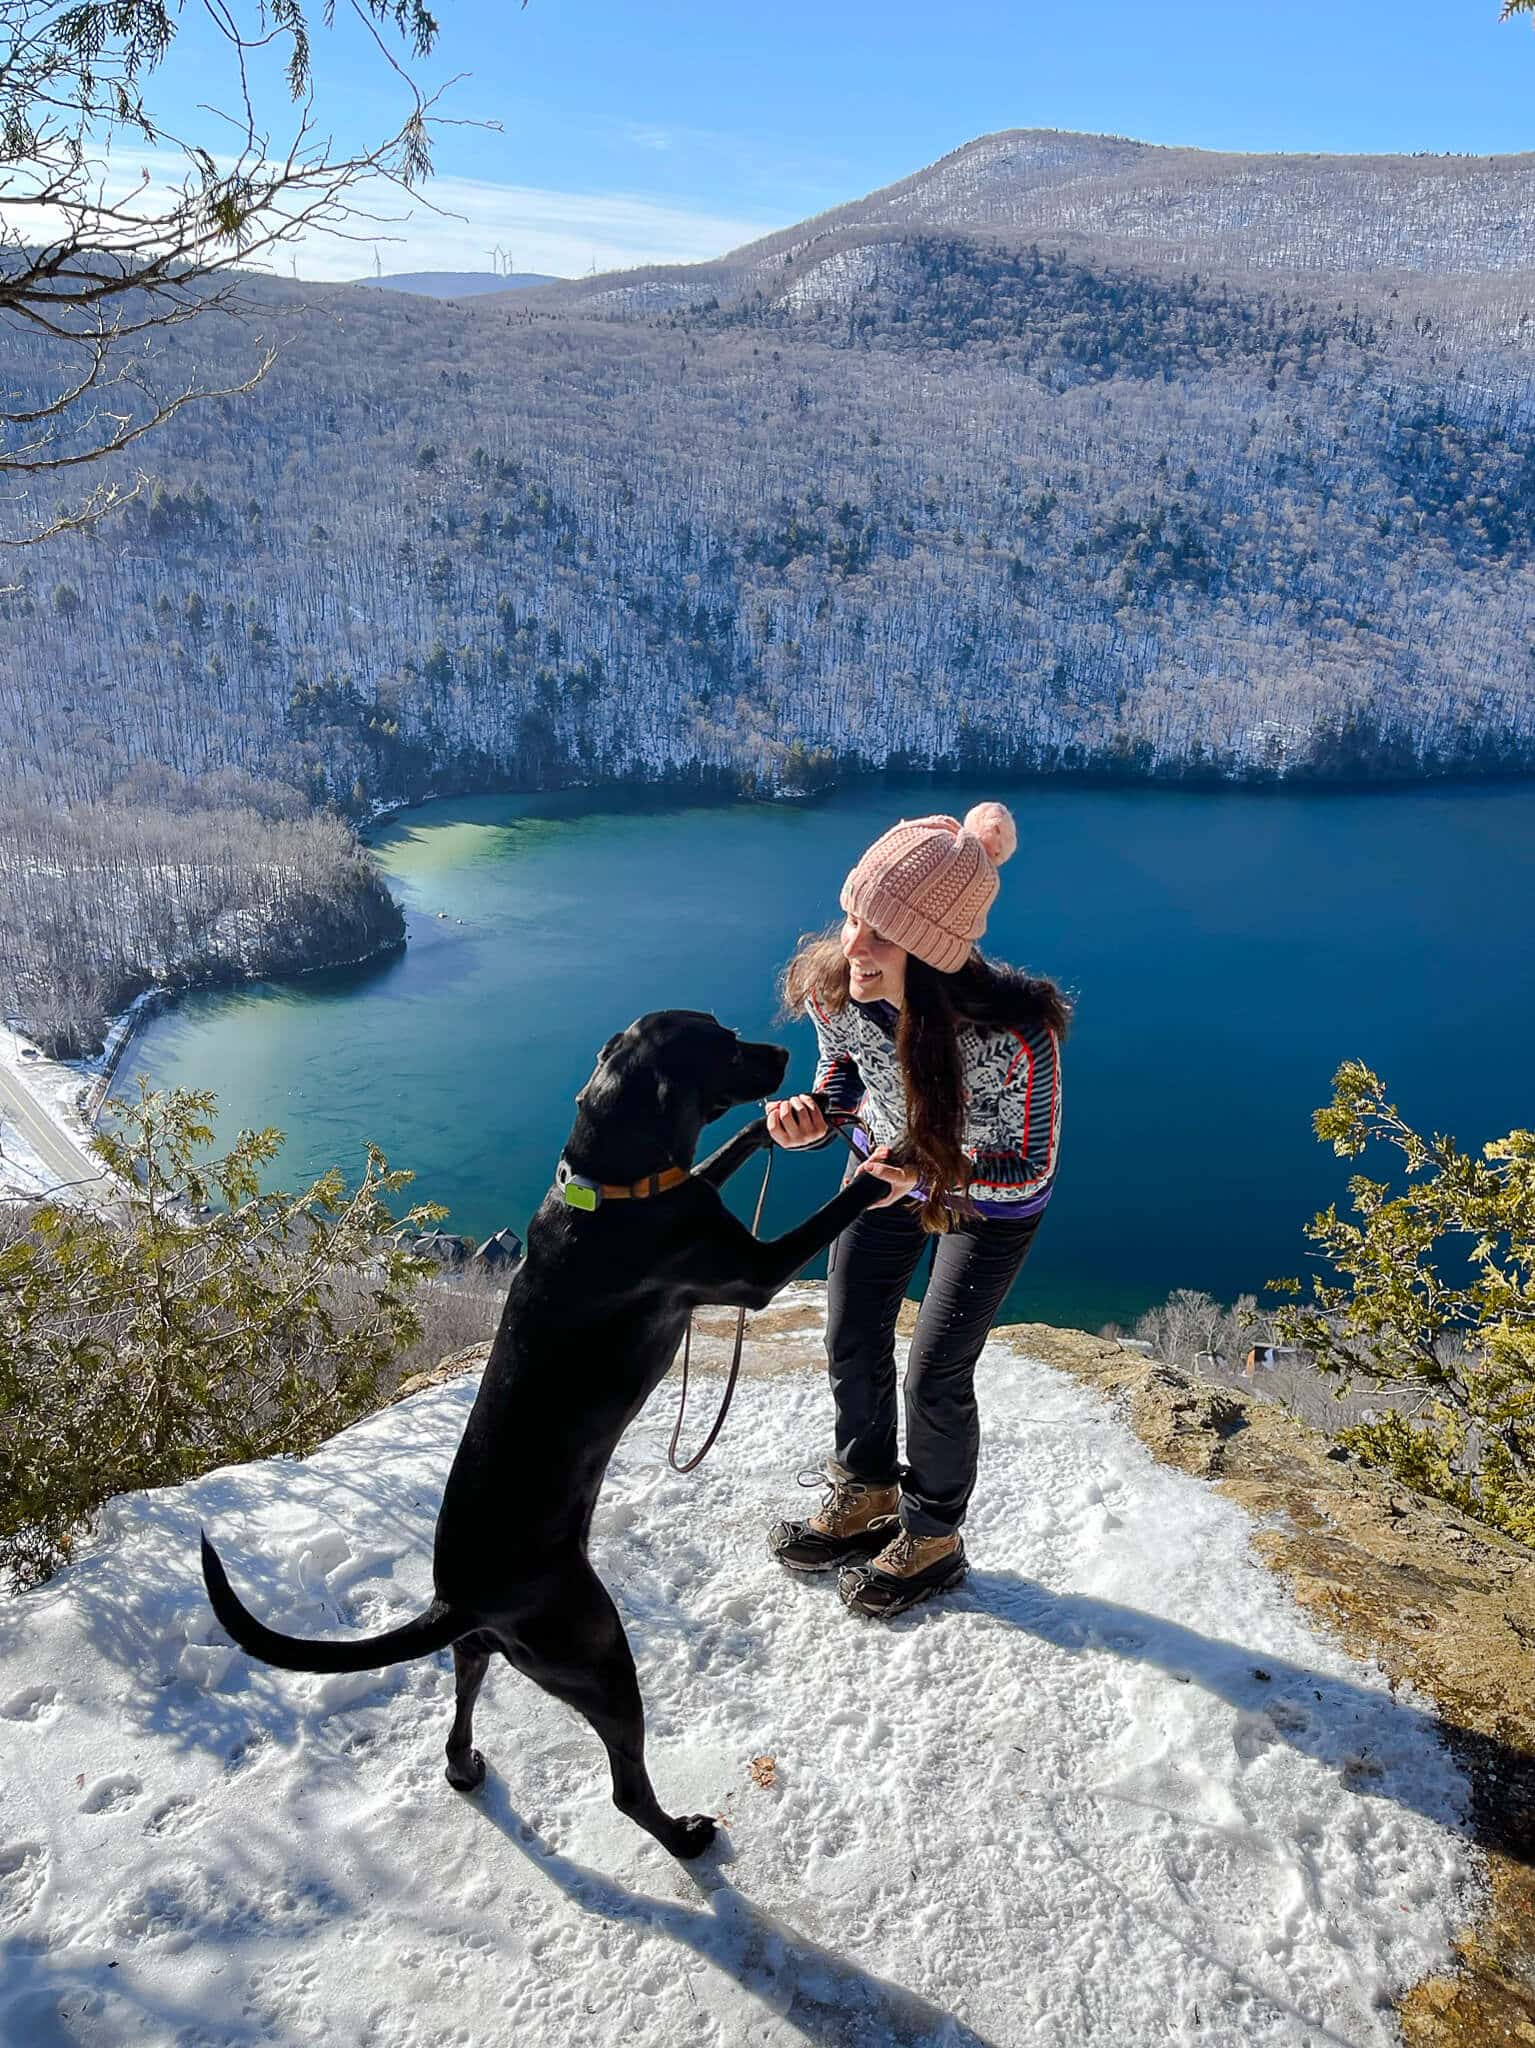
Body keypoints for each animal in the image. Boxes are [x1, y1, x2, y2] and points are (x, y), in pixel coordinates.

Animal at [201, 1015, 888, 1867]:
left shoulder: (689, 1191)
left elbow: (720, 1155)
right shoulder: (750, 1270)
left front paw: (795, 1120)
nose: (792, 1056)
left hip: (480, 1652)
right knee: (626, 1788)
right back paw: (684, 1837)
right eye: (725, 1041)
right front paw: (897, 1166)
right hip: (596, 1652)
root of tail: (457, 1600)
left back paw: (465, 1768)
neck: (608, 1188)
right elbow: (828, 1211)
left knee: (457, 1717)